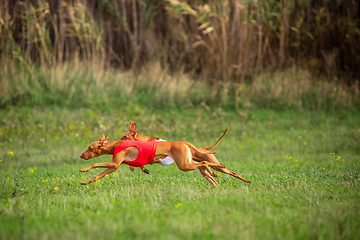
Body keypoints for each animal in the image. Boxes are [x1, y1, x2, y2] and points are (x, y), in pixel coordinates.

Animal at [79, 135, 225, 184]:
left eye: (89, 147)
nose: (81, 155)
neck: (115, 144)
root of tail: (184, 142)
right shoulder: (113, 167)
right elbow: (98, 176)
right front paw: (85, 182)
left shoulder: (114, 164)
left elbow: (95, 163)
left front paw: (84, 169)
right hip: (187, 161)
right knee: (206, 163)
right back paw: (218, 169)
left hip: (184, 165)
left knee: (204, 162)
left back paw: (214, 172)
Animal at [119, 122, 252, 186]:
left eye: (124, 137)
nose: (117, 141)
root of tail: (203, 148)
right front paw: (140, 169)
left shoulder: (159, 159)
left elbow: (143, 161)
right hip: (202, 171)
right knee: (212, 175)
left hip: (198, 164)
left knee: (230, 172)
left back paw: (246, 181)